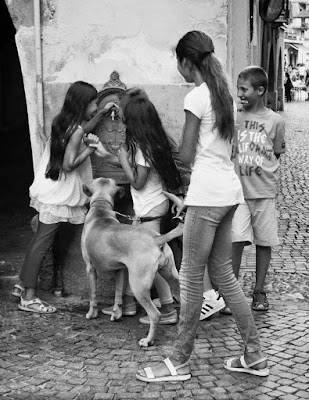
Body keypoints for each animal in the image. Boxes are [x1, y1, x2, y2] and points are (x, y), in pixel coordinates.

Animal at [80, 178, 183, 346]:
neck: (100, 207)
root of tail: (157, 239)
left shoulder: (90, 268)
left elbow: (93, 294)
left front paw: (91, 313)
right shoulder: (121, 270)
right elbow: (118, 295)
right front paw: (116, 314)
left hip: (138, 286)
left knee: (155, 314)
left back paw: (148, 340)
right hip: (171, 277)